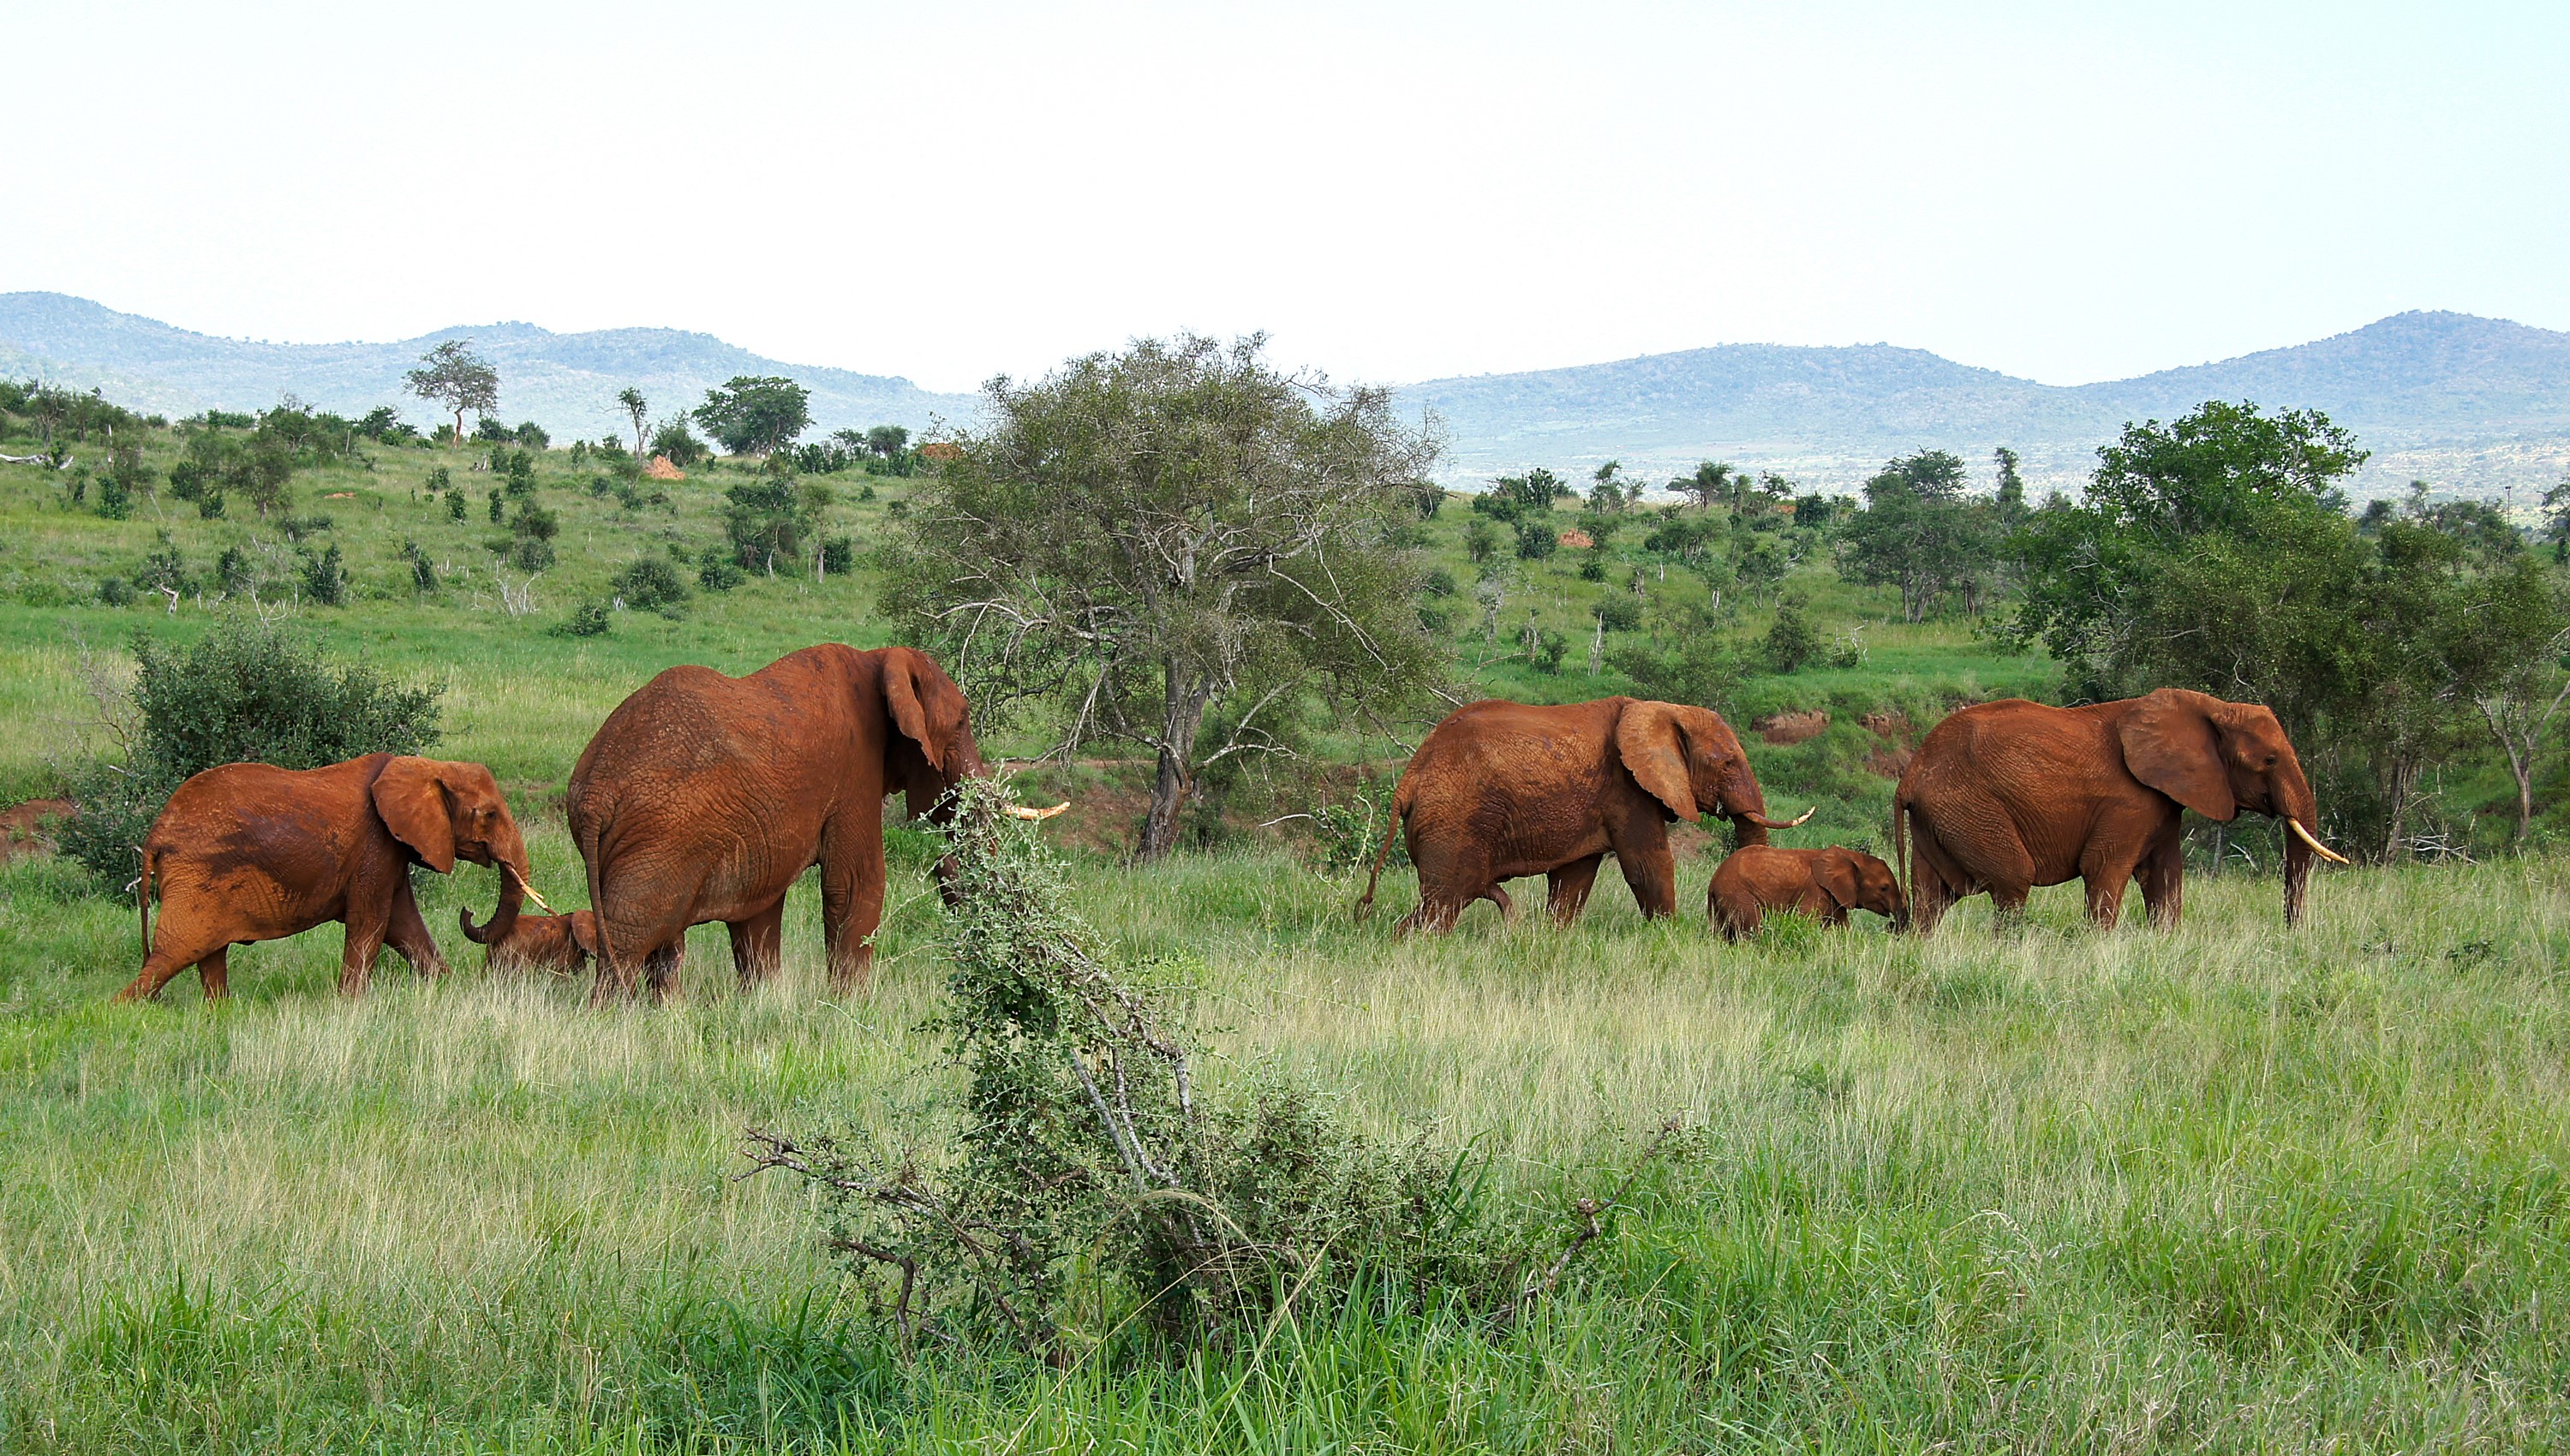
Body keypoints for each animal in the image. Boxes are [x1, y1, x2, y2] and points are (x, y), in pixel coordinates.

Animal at [118, 753, 547, 1002]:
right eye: (489, 814)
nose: (468, 912)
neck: (424, 766)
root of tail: (156, 832)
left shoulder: (391, 848)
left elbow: (403, 925)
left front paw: (447, 988)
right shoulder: (377, 844)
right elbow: (371, 923)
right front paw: (350, 1005)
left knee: (207, 954)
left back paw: (221, 1012)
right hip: (197, 874)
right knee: (173, 953)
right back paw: (125, 1008)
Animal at [563, 643, 1055, 1000]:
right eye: (963, 721)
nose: (943, 861)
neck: (879, 659)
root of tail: (593, 793)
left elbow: (760, 910)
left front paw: (763, 1004)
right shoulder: (855, 772)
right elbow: (857, 884)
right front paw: (849, 1008)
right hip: (662, 839)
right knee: (629, 942)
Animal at [1356, 696, 1809, 933]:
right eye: (1729, 763)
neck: (1662, 709)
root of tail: (1410, 776)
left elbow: (1574, 879)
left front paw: (1553, 937)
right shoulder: (1627, 789)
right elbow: (1649, 865)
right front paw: (1667, 936)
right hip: (1454, 821)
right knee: (1446, 901)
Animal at [1707, 845, 1906, 939]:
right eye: (1884, 888)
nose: (1891, 925)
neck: (1851, 856)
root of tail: (1713, 881)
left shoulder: (1836, 895)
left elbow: (1841, 926)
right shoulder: (1816, 890)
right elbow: (1804, 922)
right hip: (1738, 893)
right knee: (1753, 926)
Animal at [1893, 688, 2349, 933]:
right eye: (2269, 760)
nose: (2291, 932)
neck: (2209, 706)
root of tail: (1909, 775)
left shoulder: (2162, 802)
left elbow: (2165, 874)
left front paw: (2166, 942)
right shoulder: (2128, 802)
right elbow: (2103, 869)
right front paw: (2100, 947)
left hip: (1941, 819)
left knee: (1932, 898)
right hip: (1970, 808)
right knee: (2012, 883)